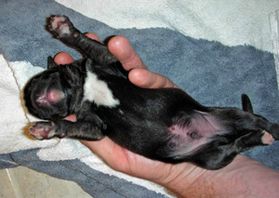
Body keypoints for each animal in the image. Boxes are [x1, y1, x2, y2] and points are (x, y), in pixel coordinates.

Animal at [24, 15, 279, 170]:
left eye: (41, 77)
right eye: (46, 115)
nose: (36, 98)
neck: (84, 89)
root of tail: (221, 135)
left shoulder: (107, 60)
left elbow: (89, 44)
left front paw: (64, 30)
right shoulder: (93, 124)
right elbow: (75, 127)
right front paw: (48, 129)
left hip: (229, 115)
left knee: (256, 120)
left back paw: (272, 130)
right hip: (211, 159)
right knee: (237, 146)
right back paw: (258, 138)